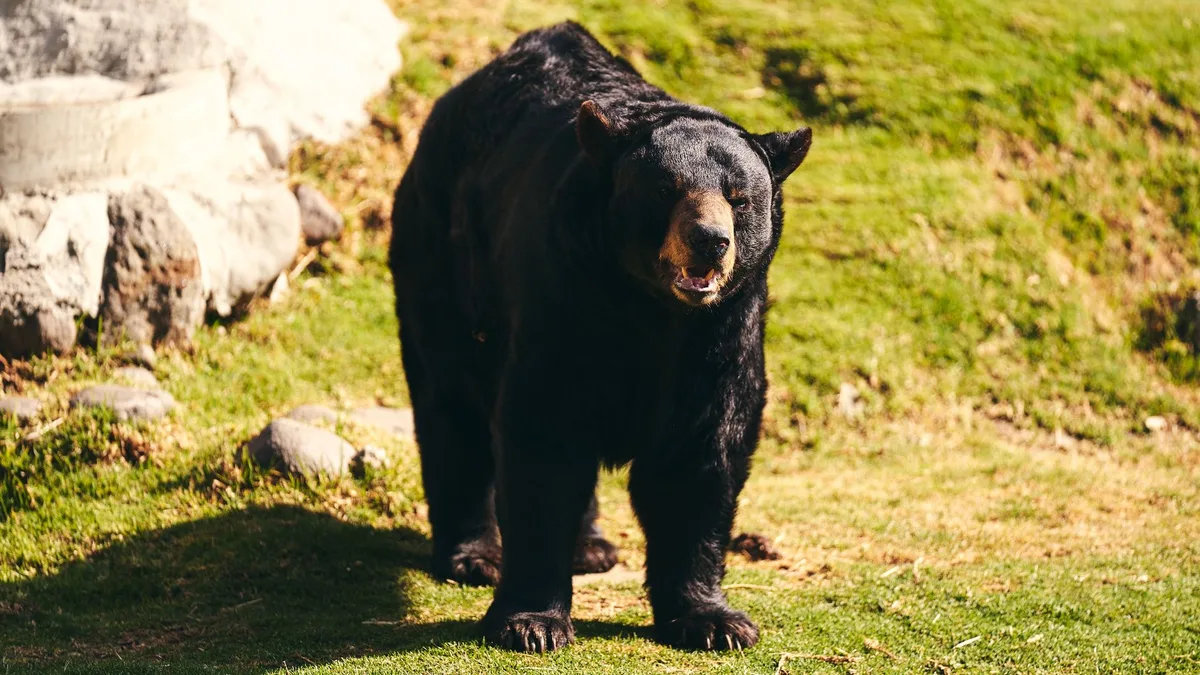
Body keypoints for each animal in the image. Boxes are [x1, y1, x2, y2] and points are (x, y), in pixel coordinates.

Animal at [389, 22, 812, 653]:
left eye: (740, 198)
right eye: (667, 190)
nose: (710, 241)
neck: (649, 307)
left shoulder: (720, 330)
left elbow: (702, 449)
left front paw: (713, 619)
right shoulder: (565, 293)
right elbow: (543, 434)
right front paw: (532, 622)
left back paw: (590, 546)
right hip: (442, 257)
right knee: (452, 400)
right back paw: (474, 554)